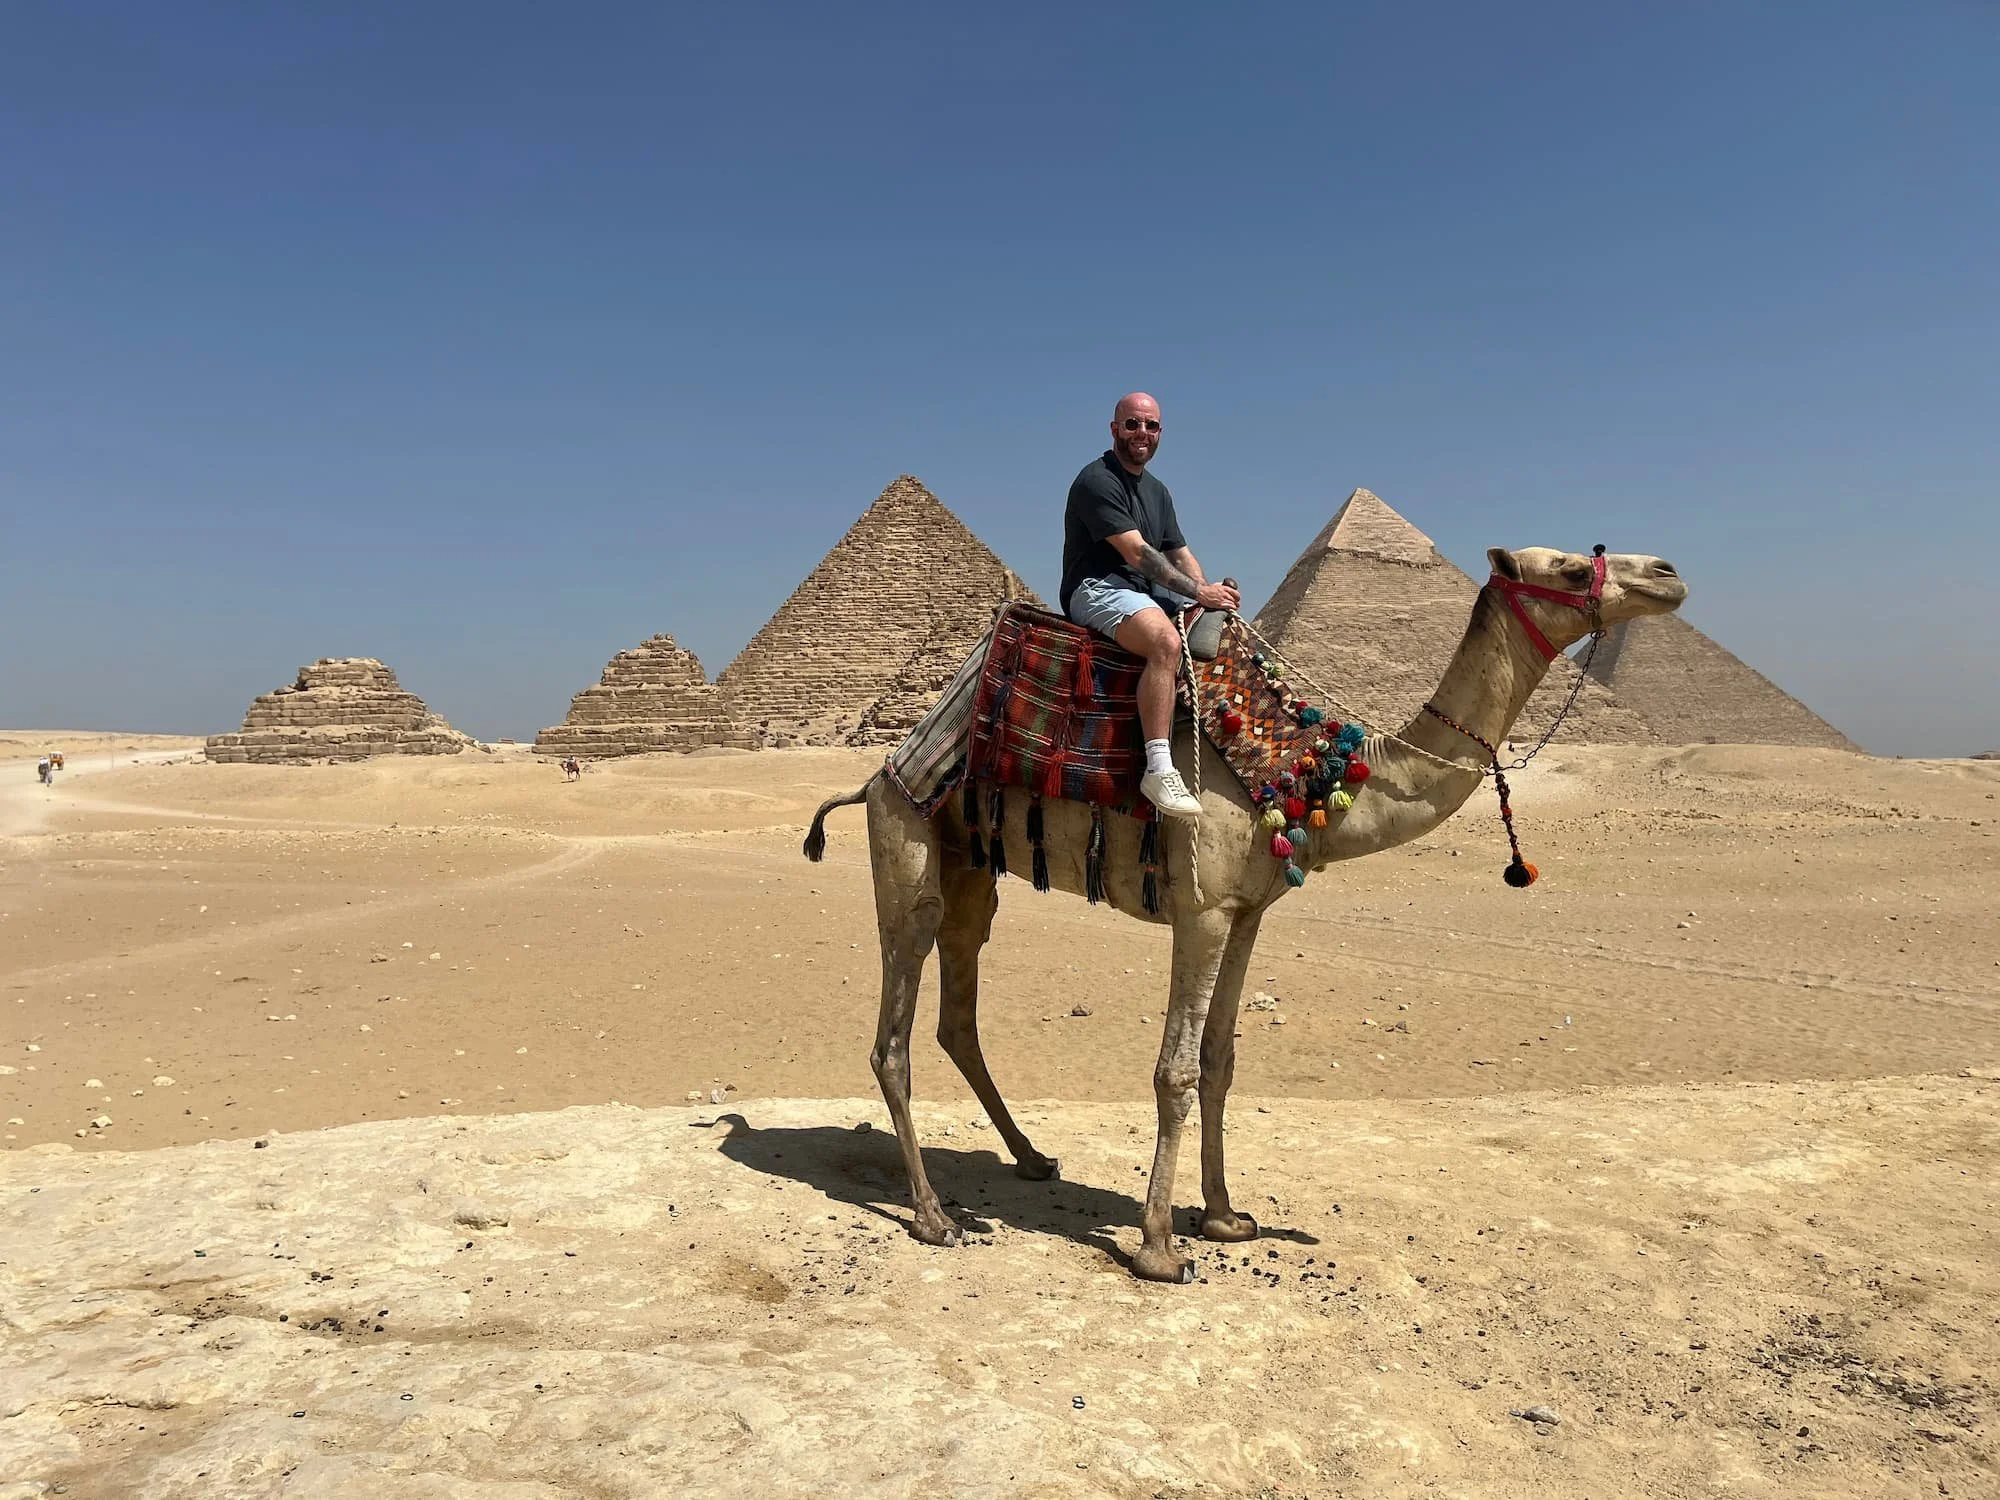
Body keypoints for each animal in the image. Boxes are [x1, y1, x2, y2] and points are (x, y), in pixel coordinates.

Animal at [805, 546, 1687, 1282]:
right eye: (1569, 567)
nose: (1668, 574)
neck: (1302, 765)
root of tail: (878, 774)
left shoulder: (1248, 912)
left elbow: (1222, 1060)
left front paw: (1226, 1216)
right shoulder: (1200, 908)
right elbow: (1176, 1070)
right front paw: (1160, 1247)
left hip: (971, 869)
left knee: (958, 1013)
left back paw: (1029, 1159)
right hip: (908, 846)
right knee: (893, 1035)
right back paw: (934, 1217)